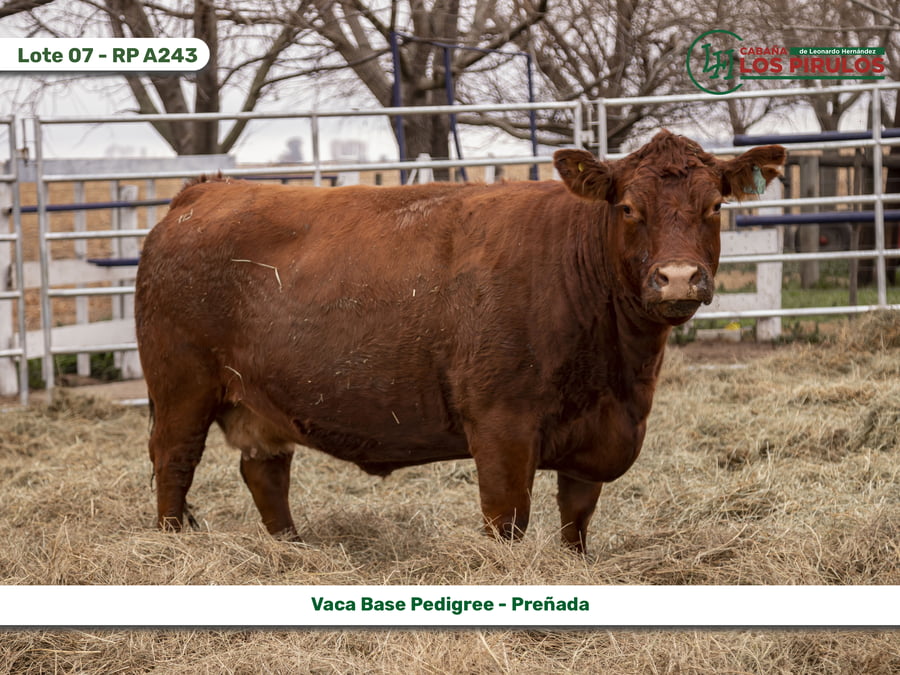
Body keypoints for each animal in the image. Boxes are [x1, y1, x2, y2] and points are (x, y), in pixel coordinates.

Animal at [135, 130, 785, 553]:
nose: (676, 277)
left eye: (715, 206)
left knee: (266, 472)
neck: (619, 374)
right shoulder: (501, 426)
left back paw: (294, 550)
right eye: (628, 207)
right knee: (173, 462)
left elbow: (575, 521)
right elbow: (507, 521)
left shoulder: (593, 440)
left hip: (260, 401)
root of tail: (202, 192)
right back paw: (172, 544)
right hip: (181, 387)